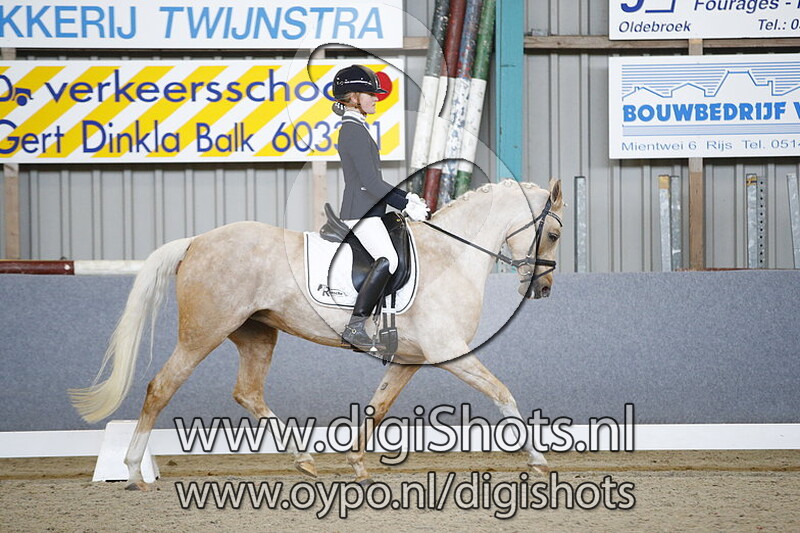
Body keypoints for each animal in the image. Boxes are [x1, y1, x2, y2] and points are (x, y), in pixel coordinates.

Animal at [69, 177, 565, 490]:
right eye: (556, 234)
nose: (542, 289)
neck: (451, 254)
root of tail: (195, 242)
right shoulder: (451, 351)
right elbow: (502, 393)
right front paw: (538, 459)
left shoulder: (411, 359)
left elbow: (378, 407)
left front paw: (356, 463)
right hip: (203, 332)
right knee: (161, 387)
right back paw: (133, 470)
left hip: (256, 334)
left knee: (248, 392)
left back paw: (304, 458)